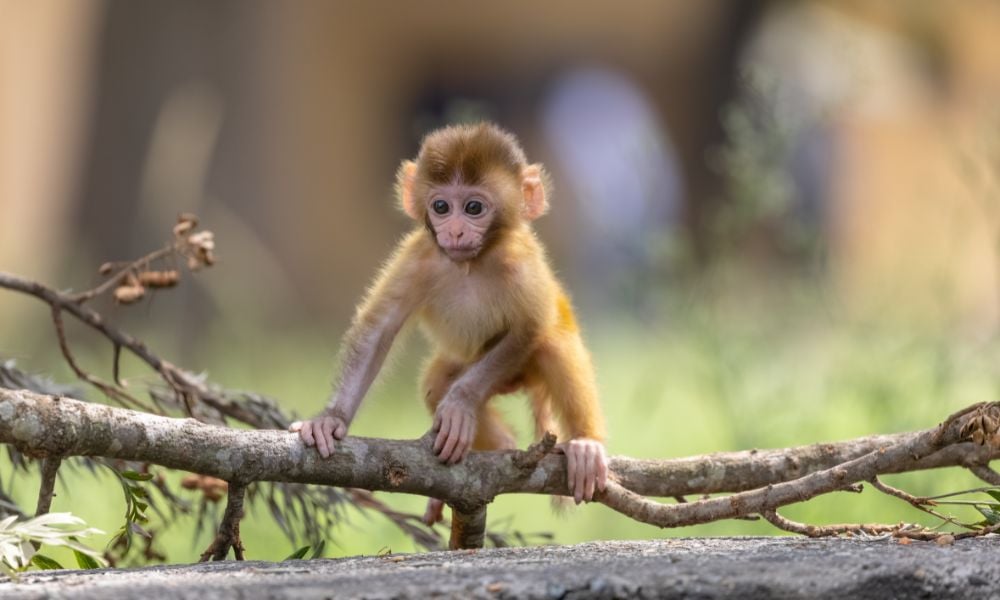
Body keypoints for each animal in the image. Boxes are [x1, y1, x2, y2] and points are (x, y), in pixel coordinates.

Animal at [290, 122, 608, 522]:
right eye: (441, 206)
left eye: (473, 207)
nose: (455, 231)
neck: (471, 263)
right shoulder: (418, 256)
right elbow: (380, 330)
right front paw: (331, 419)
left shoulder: (521, 263)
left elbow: (530, 327)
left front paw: (459, 405)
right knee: (435, 382)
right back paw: (500, 446)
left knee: (552, 345)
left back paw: (585, 443)